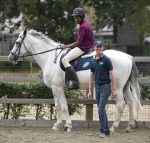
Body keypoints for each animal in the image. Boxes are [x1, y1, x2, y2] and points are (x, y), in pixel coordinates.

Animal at [8, 29, 142, 133]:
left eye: (17, 42)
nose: (10, 57)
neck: (50, 58)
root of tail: (127, 56)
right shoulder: (54, 88)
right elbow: (57, 106)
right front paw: (57, 125)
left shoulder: (58, 87)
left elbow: (64, 106)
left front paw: (68, 126)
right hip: (125, 87)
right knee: (130, 103)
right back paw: (129, 126)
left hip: (117, 88)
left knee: (121, 104)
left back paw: (113, 127)